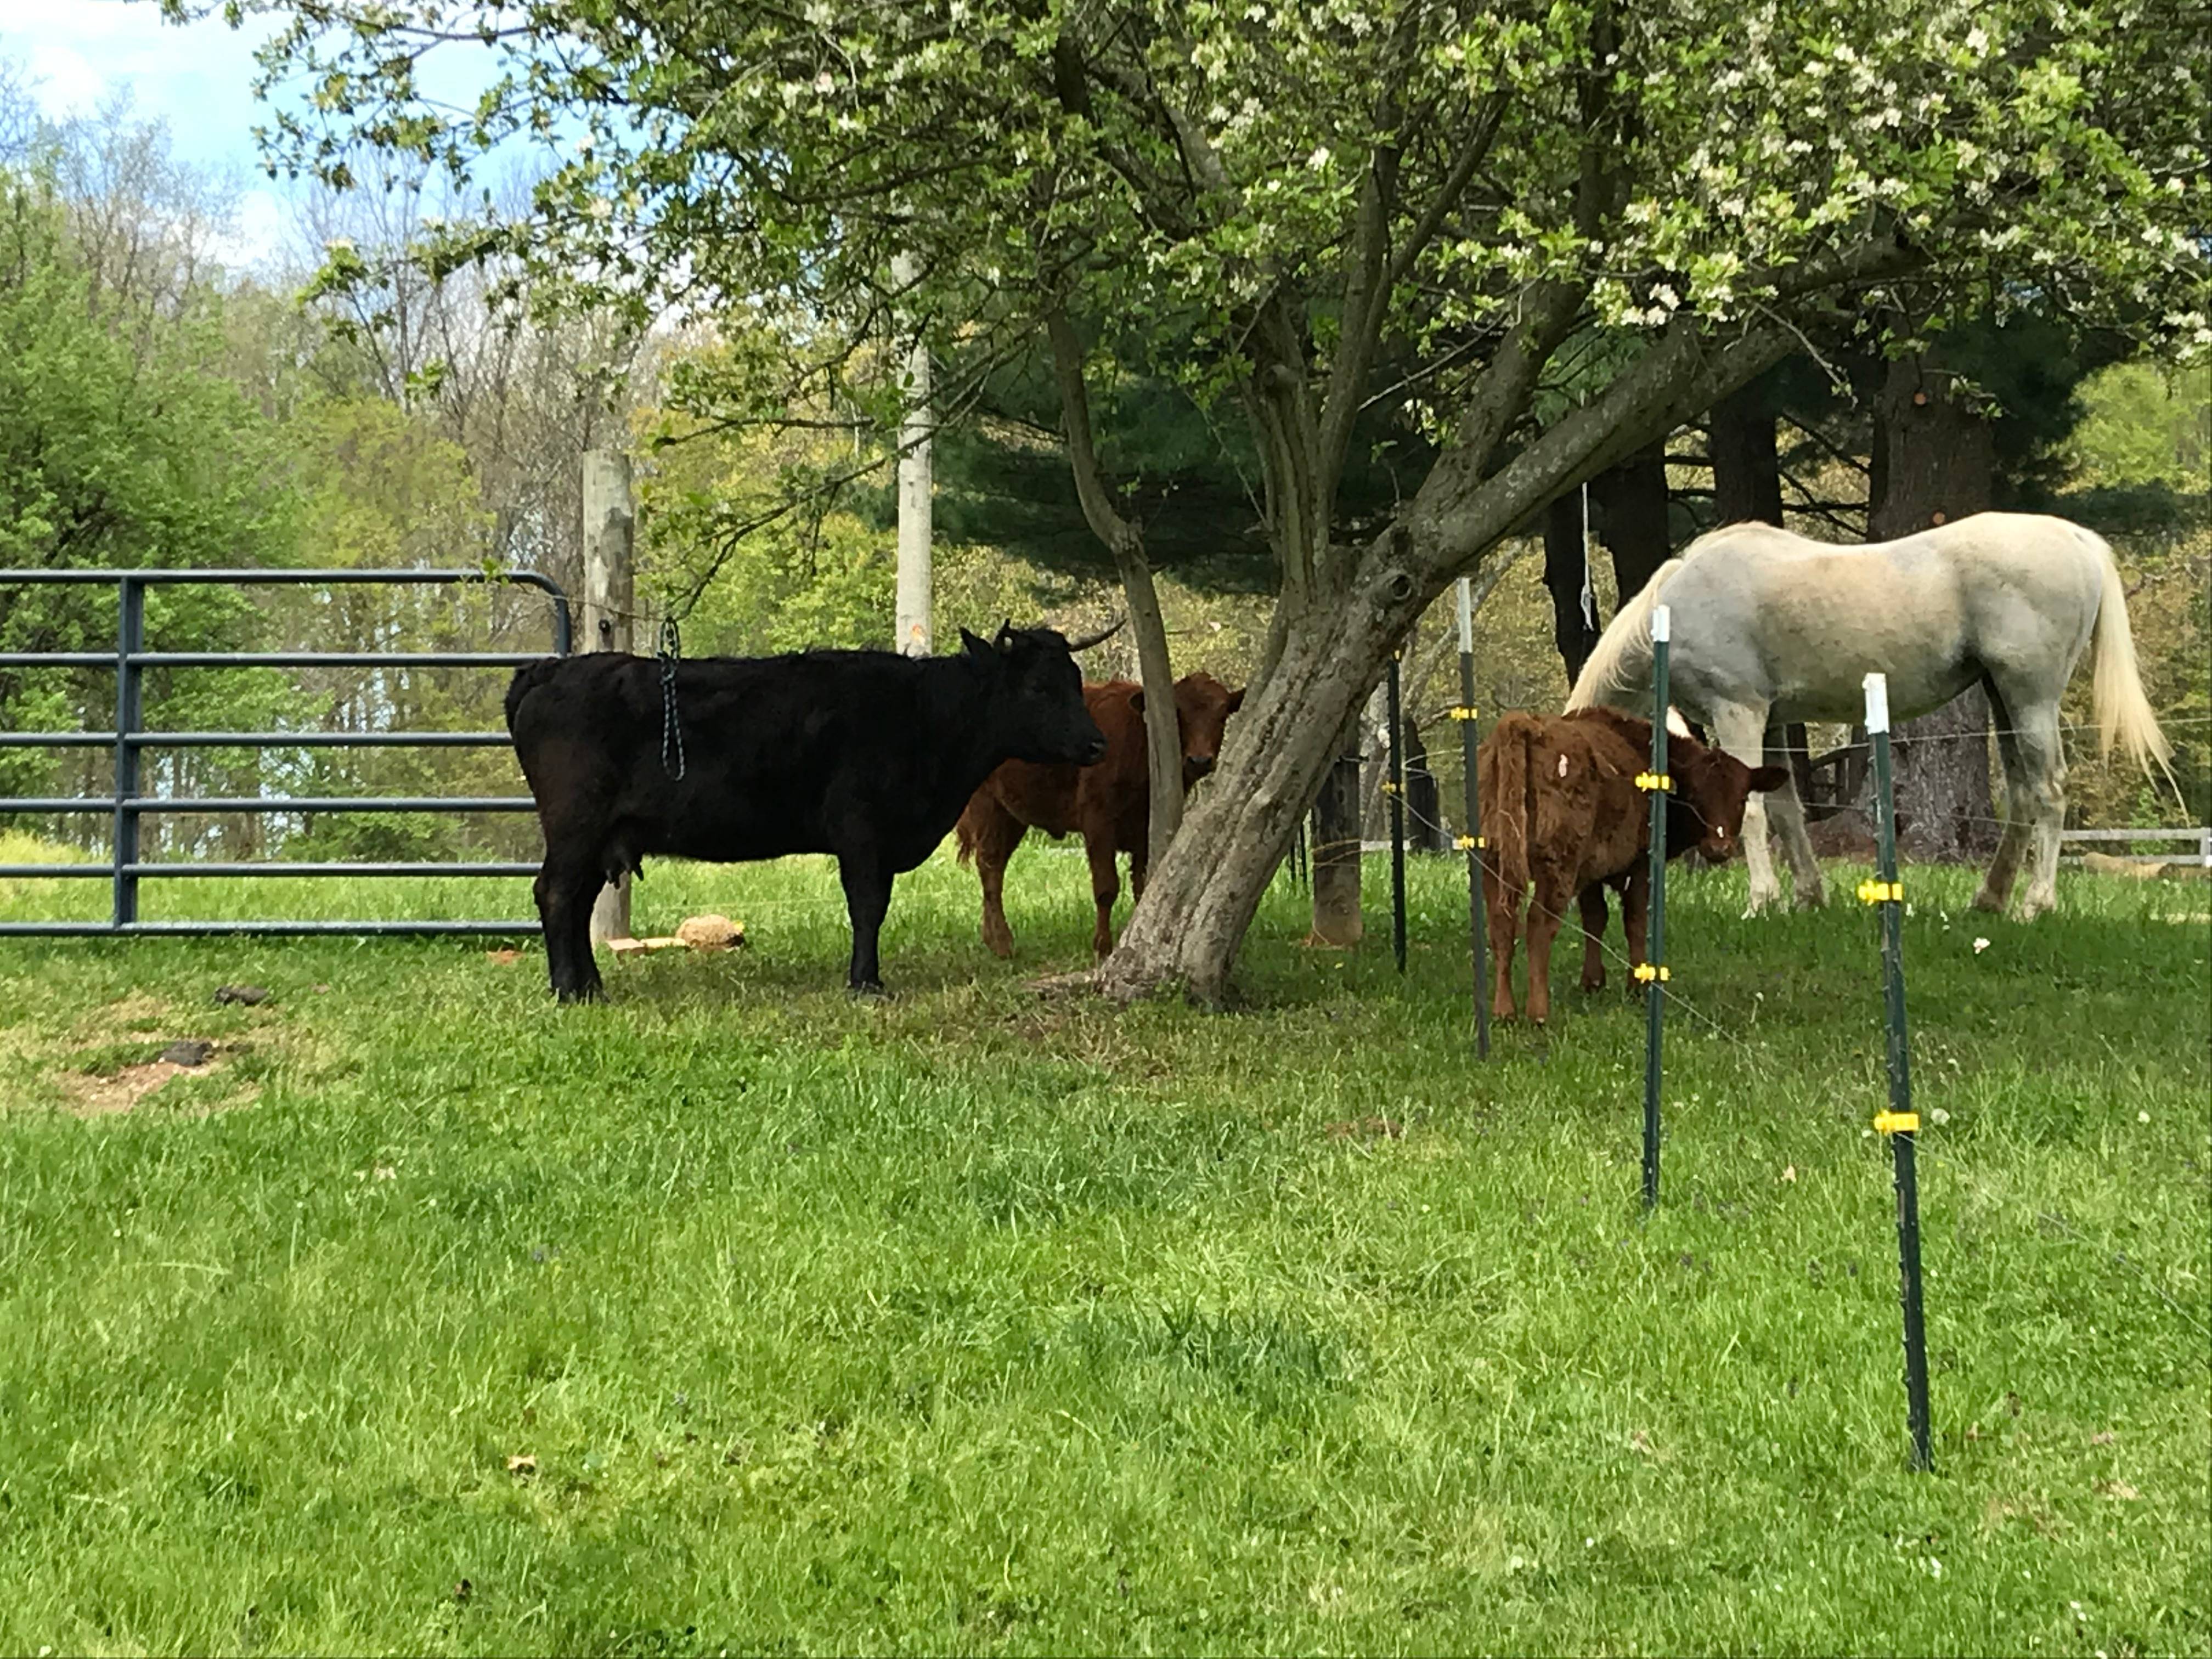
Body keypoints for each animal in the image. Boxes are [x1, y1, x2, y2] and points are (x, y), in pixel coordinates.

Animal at [504, 622, 1114, 1002]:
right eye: (1037, 688)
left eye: (1076, 681)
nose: (1096, 744)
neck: (921, 715)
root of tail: (550, 671)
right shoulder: (862, 831)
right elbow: (868, 907)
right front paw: (866, 983)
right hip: (576, 826)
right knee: (555, 895)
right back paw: (569, 990)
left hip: (596, 835)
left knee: (577, 903)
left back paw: (590, 986)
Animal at [954, 671, 1244, 958]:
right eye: (1177, 714)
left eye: (1222, 716)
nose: (1200, 760)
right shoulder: (1098, 823)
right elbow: (1106, 888)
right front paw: (1103, 947)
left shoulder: (1144, 831)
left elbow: (1142, 887)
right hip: (988, 806)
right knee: (990, 866)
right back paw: (1002, 943)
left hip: (1013, 815)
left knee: (997, 865)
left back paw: (993, 939)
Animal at [1479, 706, 1787, 1024]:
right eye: (1694, 797)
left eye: (1742, 798)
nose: (1719, 848)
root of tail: (1526, 726)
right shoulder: (1640, 865)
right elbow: (1636, 921)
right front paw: (1638, 986)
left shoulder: (1591, 871)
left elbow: (1595, 918)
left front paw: (1593, 981)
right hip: (1558, 864)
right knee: (1539, 926)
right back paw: (1538, 1013)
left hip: (1494, 860)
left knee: (1501, 924)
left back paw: (1504, 1011)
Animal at [1565, 512, 2175, 919]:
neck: (1676, 606)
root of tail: (2075, 538)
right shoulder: (1774, 721)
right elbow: (1786, 811)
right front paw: (1808, 898)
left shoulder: (1739, 711)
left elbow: (1754, 812)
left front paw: (1761, 901)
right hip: (2004, 698)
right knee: (2025, 795)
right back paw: (1989, 900)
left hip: (2030, 696)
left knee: (2049, 791)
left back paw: (2035, 904)